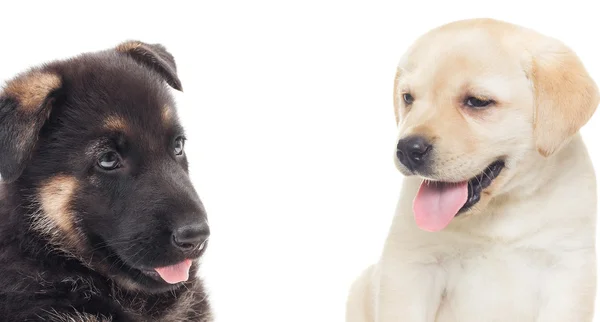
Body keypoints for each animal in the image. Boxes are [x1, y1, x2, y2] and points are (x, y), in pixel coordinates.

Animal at [350, 18, 596, 322]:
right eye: (408, 98)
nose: (407, 149)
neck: (499, 209)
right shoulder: (411, 264)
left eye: (477, 101)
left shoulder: (568, 267)